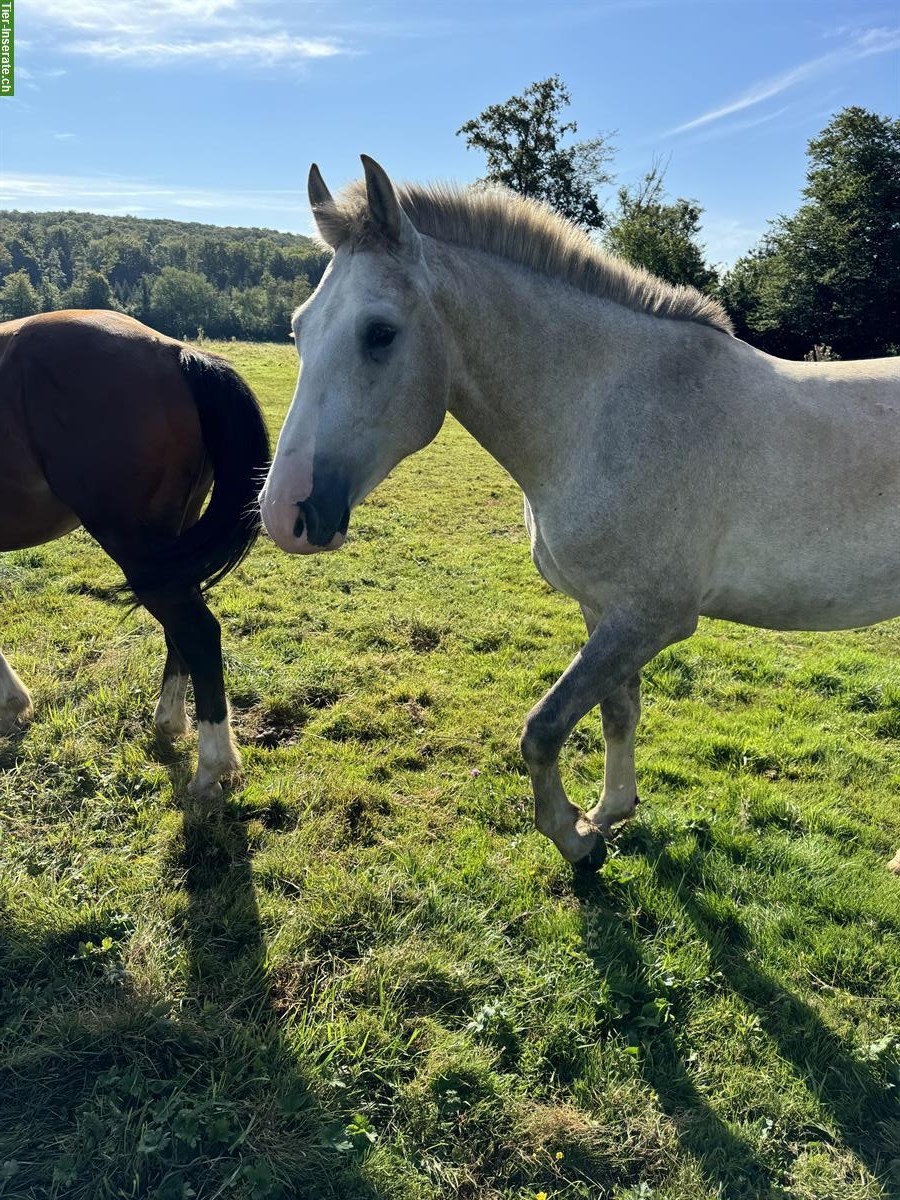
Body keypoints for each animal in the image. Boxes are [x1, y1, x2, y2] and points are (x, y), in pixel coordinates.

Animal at [260, 157, 900, 873]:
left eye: (379, 333)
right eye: (299, 329)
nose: (285, 513)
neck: (605, 413)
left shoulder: (649, 619)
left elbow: (544, 727)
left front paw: (574, 837)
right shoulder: (604, 612)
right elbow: (617, 713)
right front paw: (611, 813)